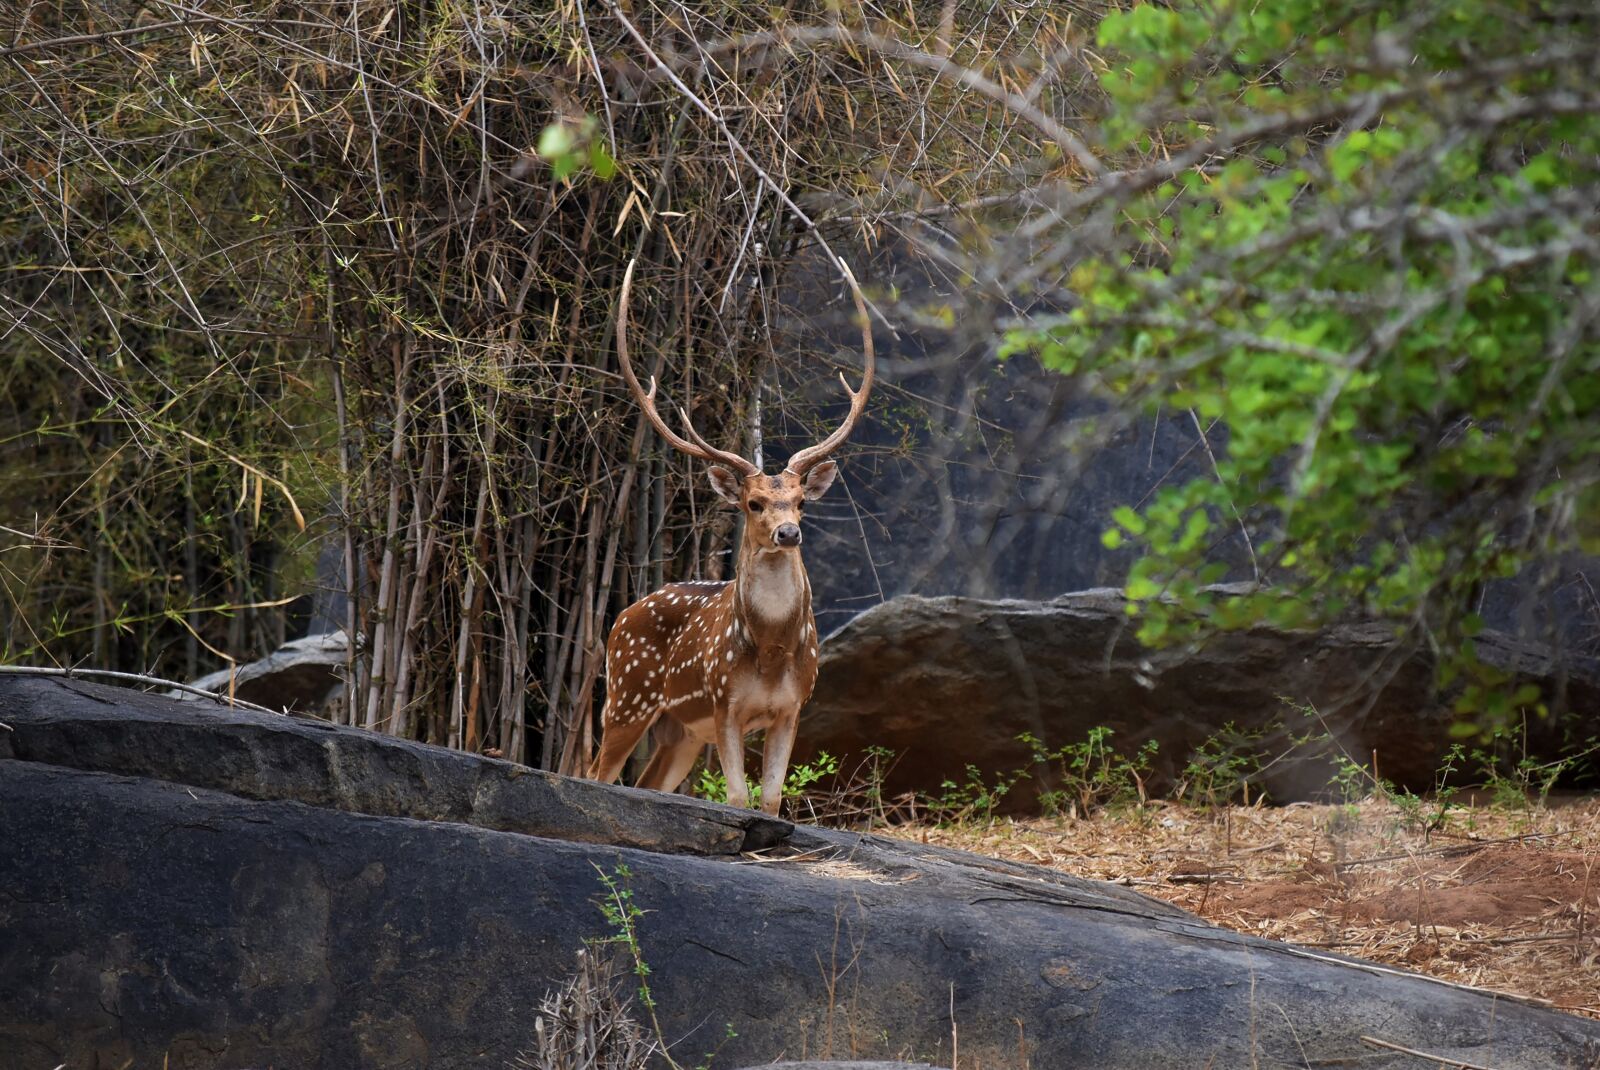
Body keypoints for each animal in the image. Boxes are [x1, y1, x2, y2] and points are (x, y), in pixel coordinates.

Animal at [585, 260, 874, 815]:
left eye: (801, 501)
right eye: (753, 503)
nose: (788, 532)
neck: (771, 654)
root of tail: (621, 617)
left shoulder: (793, 706)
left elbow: (772, 798)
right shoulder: (724, 701)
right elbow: (738, 797)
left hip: (678, 730)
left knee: (648, 780)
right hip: (627, 695)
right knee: (594, 771)